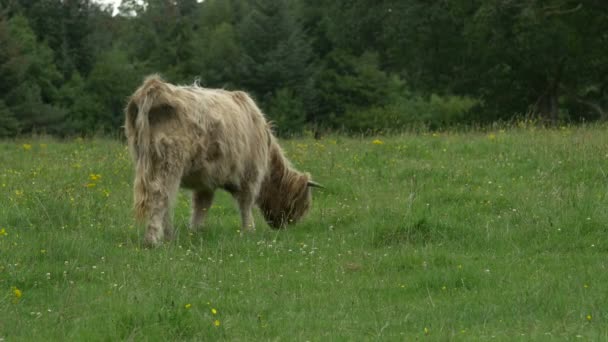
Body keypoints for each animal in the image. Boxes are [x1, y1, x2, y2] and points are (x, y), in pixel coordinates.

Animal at [124, 75, 324, 246]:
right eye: (302, 204)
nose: (285, 226)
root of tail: (155, 86)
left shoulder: (205, 182)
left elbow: (201, 207)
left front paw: (195, 231)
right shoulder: (250, 175)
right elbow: (245, 204)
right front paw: (249, 230)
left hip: (146, 161)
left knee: (165, 198)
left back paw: (168, 236)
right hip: (169, 162)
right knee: (160, 195)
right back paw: (153, 240)